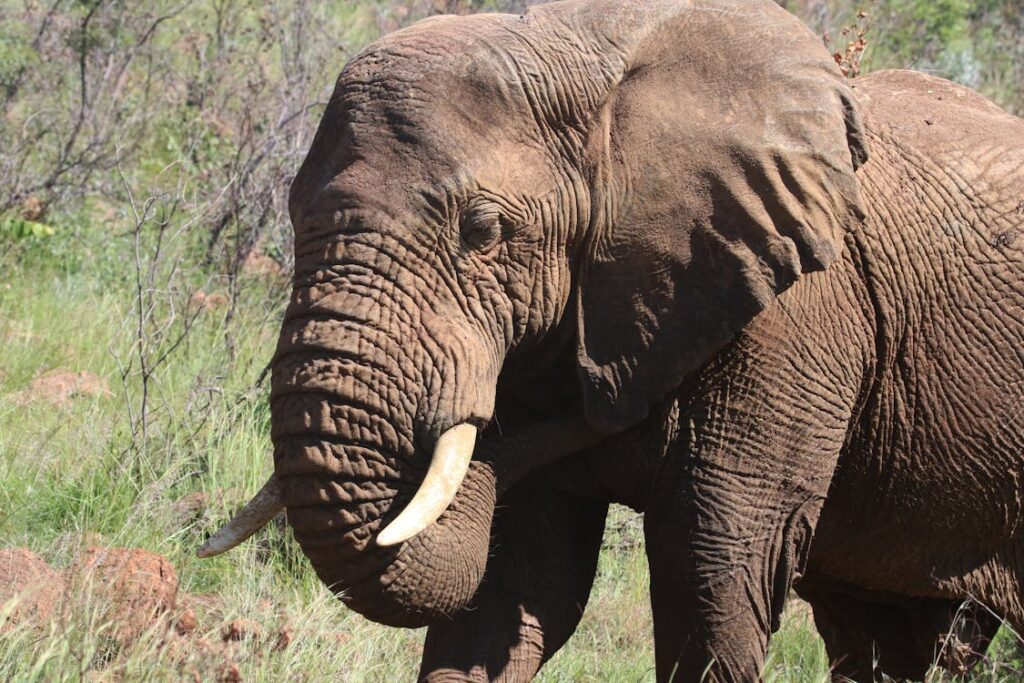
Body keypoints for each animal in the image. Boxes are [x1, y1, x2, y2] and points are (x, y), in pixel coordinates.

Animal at [198, 0, 1024, 680]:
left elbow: (716, 563)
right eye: (291, 215)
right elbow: (520, 579)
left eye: (484, 231)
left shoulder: (798, 319)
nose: (603, 400)